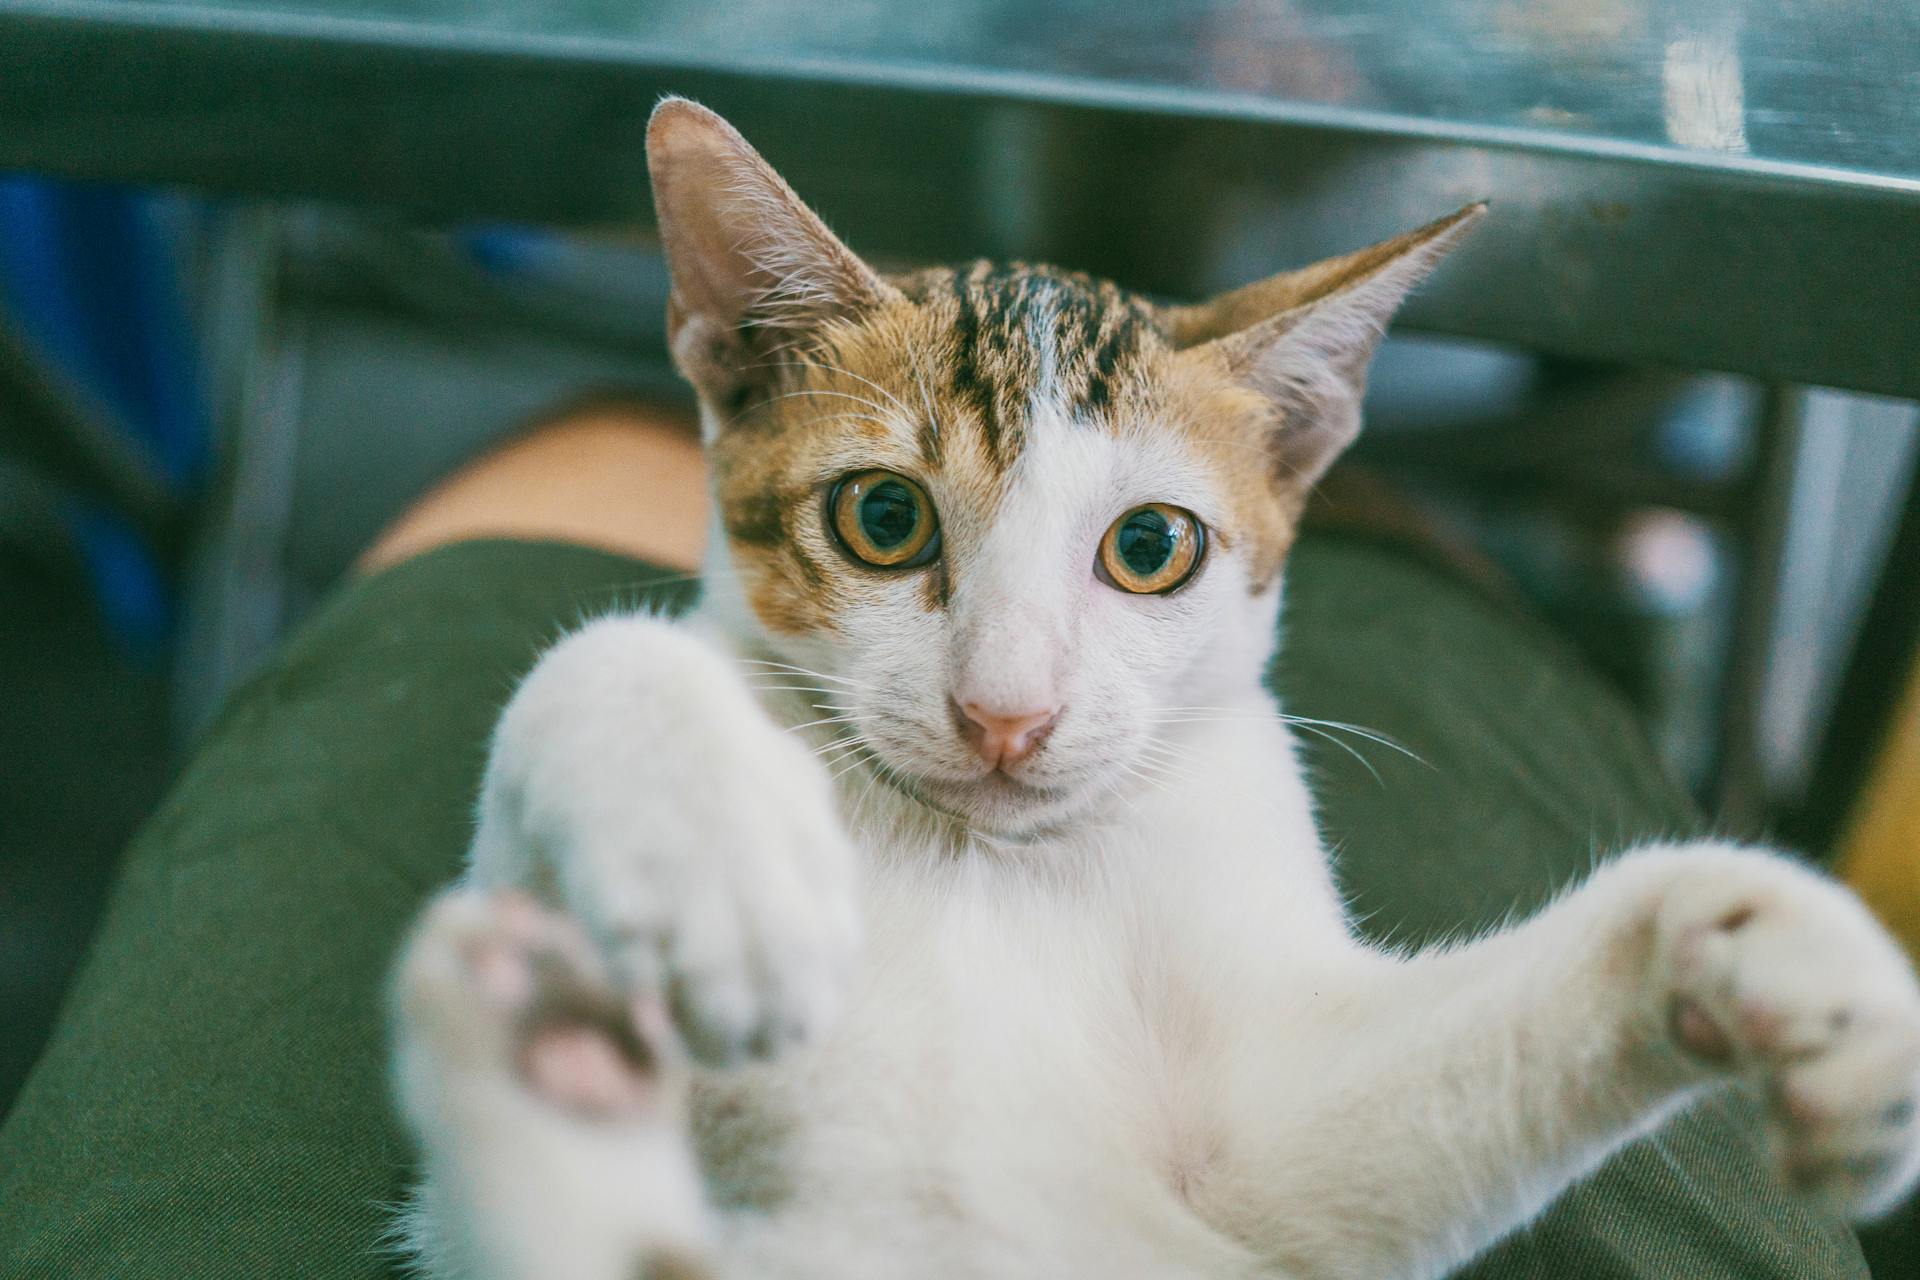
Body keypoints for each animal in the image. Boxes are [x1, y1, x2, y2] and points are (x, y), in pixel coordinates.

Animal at [385, 100, 1920, 1280]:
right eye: (882, 518)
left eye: (1149, 548)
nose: (1006, 712)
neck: (984, 860)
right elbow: (595, 656)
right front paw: (719, 869)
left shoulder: (1266, 1168)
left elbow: (1370, 1127)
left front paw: (1767, 949)